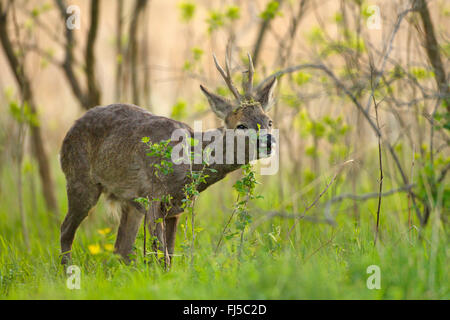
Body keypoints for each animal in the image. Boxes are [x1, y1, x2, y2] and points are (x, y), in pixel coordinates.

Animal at [59, 52, 278, 264]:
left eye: (269, 121)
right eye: (241, 125)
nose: (269, 141)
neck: (189, 164)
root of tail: (67, 134)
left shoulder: (176, 208)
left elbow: (169, 255)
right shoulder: (154, 195)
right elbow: (161, 255)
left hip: (130, 201)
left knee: (121, 249)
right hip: (79, 180)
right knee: (65, 230)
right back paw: (66, 269)